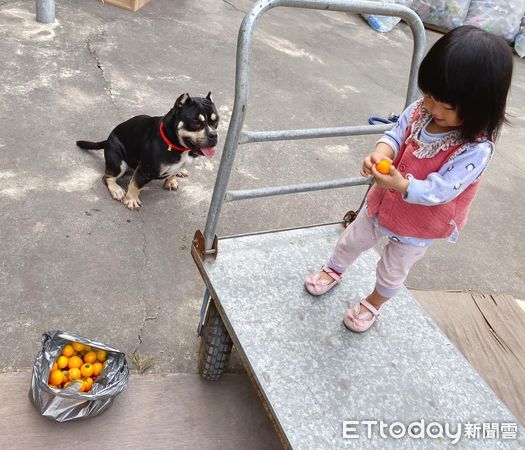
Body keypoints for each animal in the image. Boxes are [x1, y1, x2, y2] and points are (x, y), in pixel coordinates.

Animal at [76, 94, 219, 210]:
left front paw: (171, 179)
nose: (214, 135)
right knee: (108, 177)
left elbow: (173, 172)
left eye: (216, 121)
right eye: (196, 122)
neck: (175, 143)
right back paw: (117, 190)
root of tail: (107, 139)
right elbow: (135, 185)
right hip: (118, 163)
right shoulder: (144, 170)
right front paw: (131, 200)